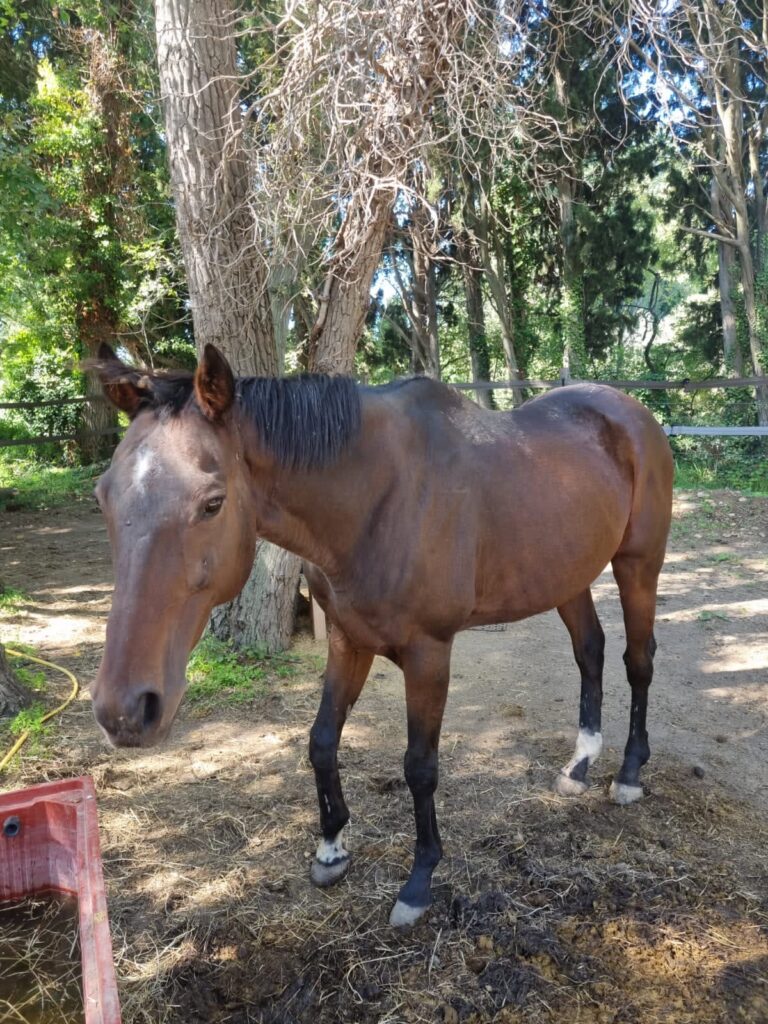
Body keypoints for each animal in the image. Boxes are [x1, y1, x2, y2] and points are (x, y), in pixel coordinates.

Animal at [88, 343, 673, 927]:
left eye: (212, 502)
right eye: (103, 497)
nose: (125, 710)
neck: (376, 497)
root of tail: (628, 411)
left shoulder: (429, 652)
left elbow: (419, 766)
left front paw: (419, 880)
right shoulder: (348, 640)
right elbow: (322, 741)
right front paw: (331, 849)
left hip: (638, 564)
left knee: (638, 661)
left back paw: (628, 773)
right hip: (566, 574)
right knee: (590, 651)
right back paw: (580, 764)